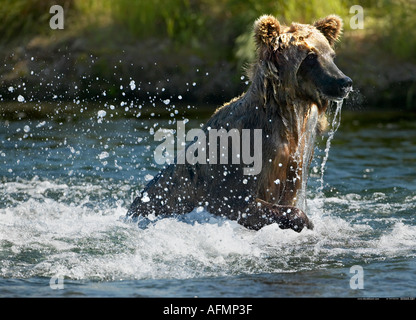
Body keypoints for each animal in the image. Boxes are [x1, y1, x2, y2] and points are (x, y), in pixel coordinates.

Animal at [126, 14, 352, 232]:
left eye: (331, 55)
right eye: (311, 56)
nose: (344, 82)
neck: (284, 119)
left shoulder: (295, 159)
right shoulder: (239, 163)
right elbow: (239, 204)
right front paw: (306, 221)